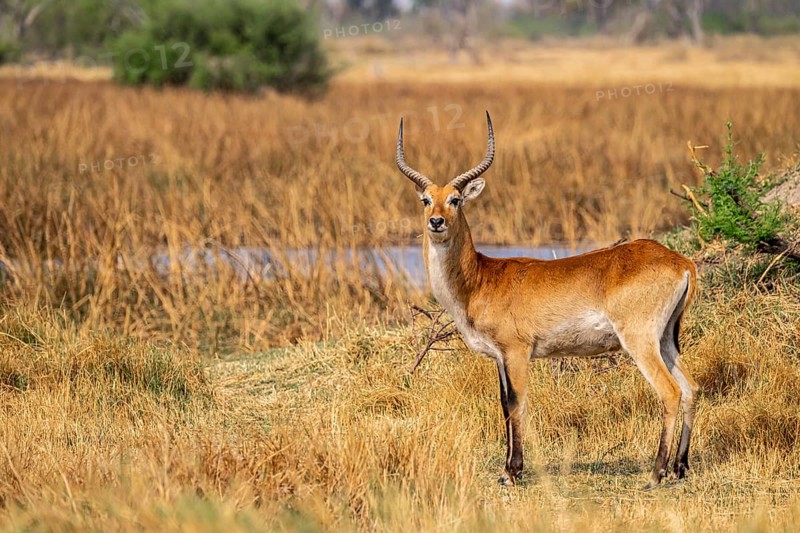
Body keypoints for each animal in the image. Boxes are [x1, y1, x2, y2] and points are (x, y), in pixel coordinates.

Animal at [396, 112, 699, 489]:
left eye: (456, 199)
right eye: (426, 199)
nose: (436, 222)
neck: (480, 280)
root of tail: (680, 261)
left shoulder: (517, 352)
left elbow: (516, 403)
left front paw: (512, 472)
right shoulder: (500, 357)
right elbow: (503, 403)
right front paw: (508, 469)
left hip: (640, 341)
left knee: (670, 392)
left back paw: (656, 473)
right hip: (667, 339)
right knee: (691, 388)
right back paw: (680, 467)